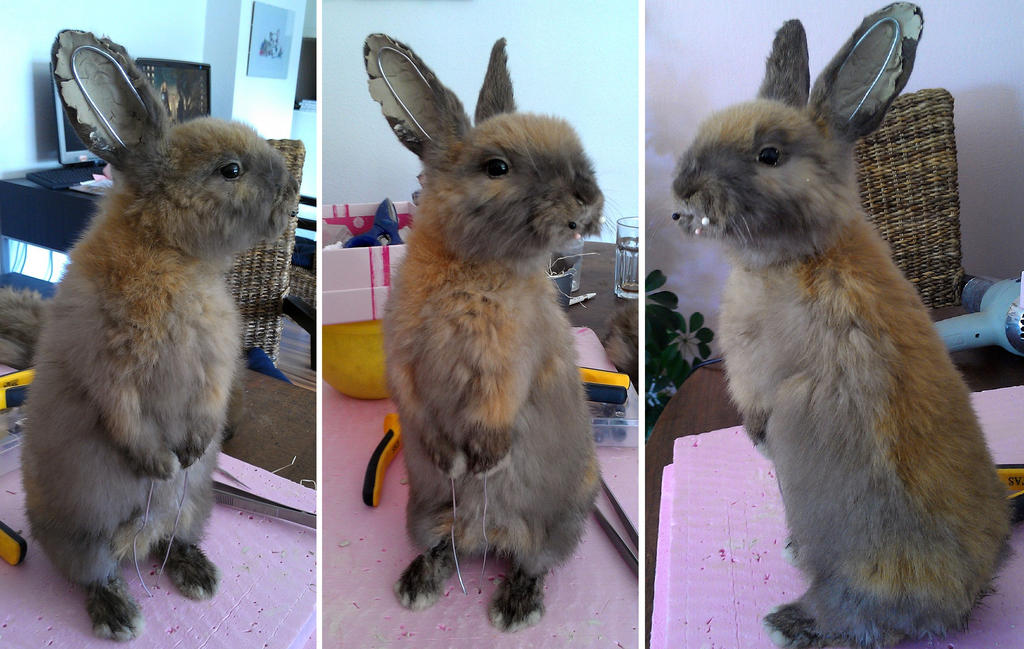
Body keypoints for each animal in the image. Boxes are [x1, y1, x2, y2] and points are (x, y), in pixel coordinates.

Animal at [20, 30, 297, 641]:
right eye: (231, 170)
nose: (292, 190)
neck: (171, 252)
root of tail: (136, 541)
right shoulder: (108, 367)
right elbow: (125, 418)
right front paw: (163, 465)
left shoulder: (216, 368)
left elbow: (208, 405)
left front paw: (189, 453)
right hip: (83, 539)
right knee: (98, 574)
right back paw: (119, 616)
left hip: (193, 511)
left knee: (173, 542)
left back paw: (199, 577)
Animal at [364, 34, 605, 632]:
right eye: (496, 166)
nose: (587, 199)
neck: (472, 265)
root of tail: (486, 537)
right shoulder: (402, 362)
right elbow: (419, 410)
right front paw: (452, 463)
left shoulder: (509, 367)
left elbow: (497, 410)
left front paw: (484, 463)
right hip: (423, 516)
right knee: (439, 549)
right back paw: (417, 586)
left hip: (553, 530)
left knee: (531, 565)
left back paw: (514, 609)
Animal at [670, 5, 1011, 648]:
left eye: (770, 155)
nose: (683, 192)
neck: (799, 256)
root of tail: (961, 601)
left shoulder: (765, 377)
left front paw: (758, 438)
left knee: (856, 623)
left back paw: (790, 622)